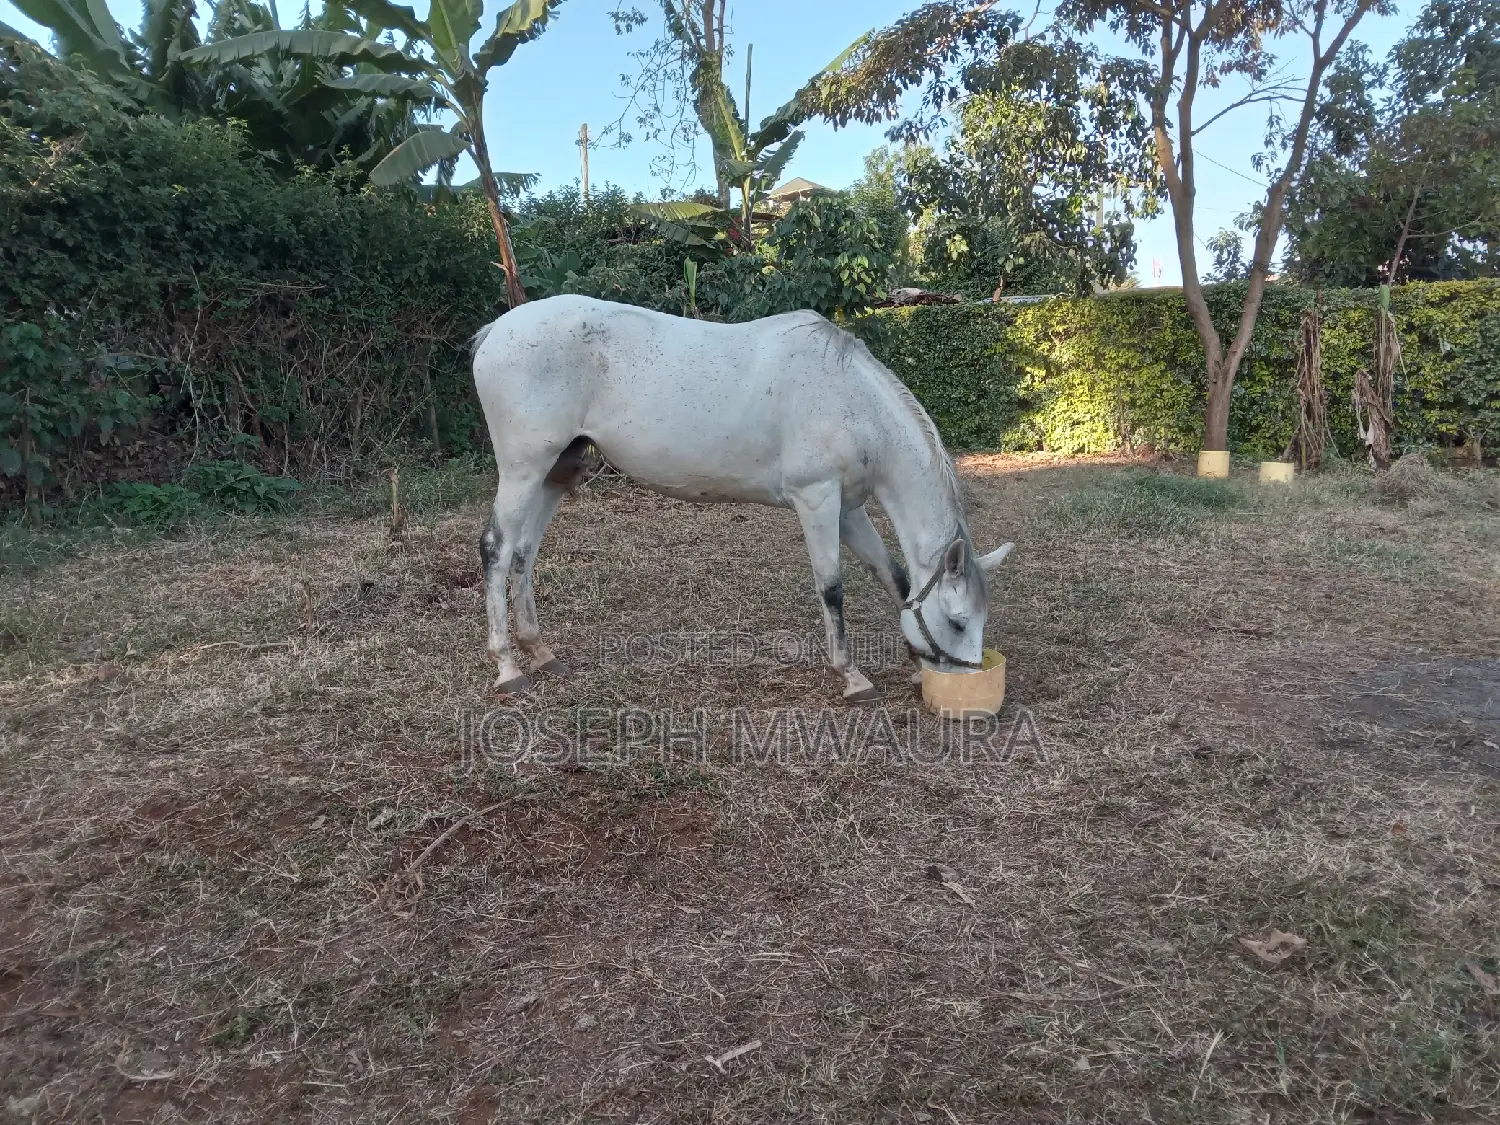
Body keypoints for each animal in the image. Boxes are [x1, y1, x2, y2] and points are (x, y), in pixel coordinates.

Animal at [470, 295, 1014, 701]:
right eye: (958, 621)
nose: (965, 684)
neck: (849, 400)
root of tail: (494, 331)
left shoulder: (849, 508)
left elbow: (892, 574)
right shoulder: (816, 499)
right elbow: (831, 586)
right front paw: (852, 676)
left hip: (555, 473)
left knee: (523, 555)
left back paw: (540, 652)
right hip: (522, 472)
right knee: (496, 550)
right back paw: (507, 667)